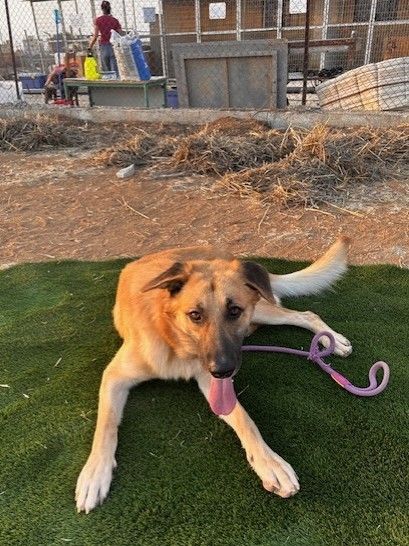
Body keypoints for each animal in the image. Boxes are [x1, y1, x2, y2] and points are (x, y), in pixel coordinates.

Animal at [76, 237, 352, 513]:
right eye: (195, 315)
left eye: (234, 311)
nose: (223, 370)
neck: (174, 341)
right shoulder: (114, 376)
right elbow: (106, 425)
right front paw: (94, 474)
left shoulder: (212, 381)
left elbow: (244, 419)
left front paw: (270, 463)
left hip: (262, 308)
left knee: (304, 314)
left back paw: (332, 339)